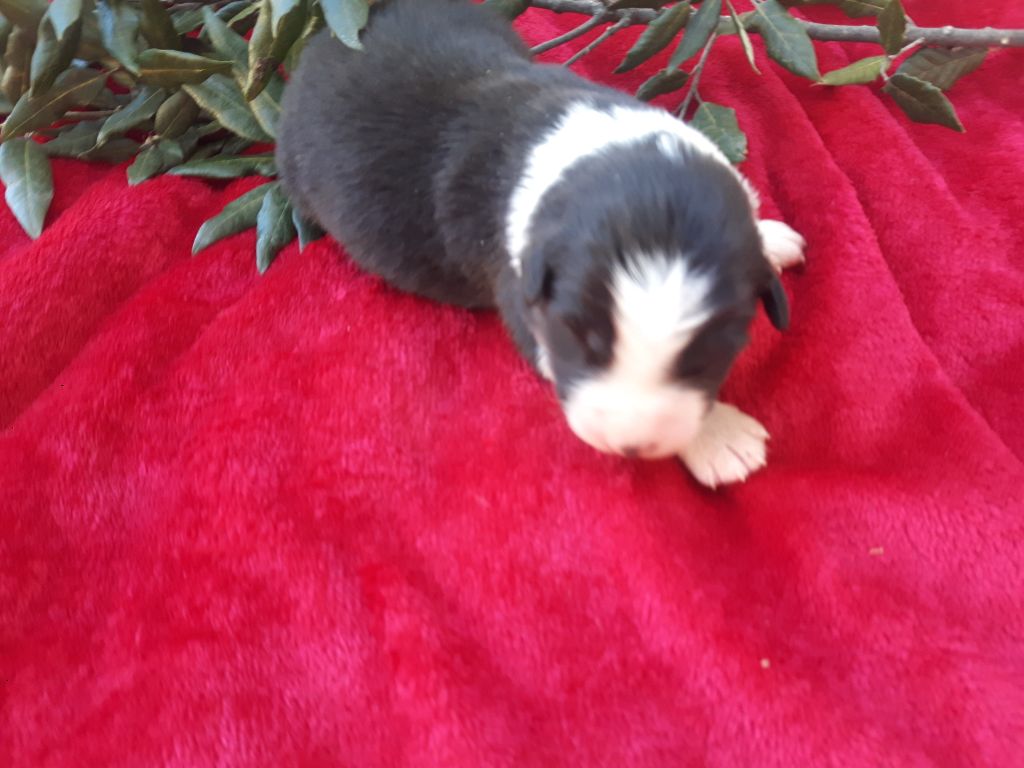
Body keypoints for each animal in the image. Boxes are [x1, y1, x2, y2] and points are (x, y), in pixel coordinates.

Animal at [276, 0, 805, 487]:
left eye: (707, 357)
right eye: (580, 340)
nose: (631, 445)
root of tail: (323, 42)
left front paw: (769, 236)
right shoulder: (522, 298)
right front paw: (720, 439)